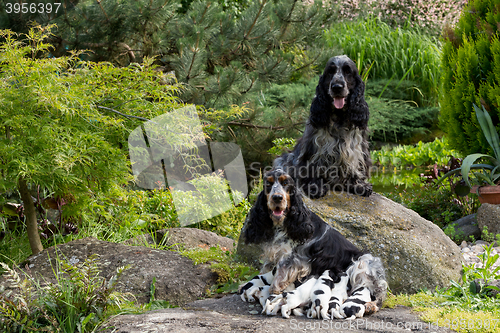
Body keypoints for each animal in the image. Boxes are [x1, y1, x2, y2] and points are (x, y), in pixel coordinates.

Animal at [238, 169, 386, 316]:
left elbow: (280, 273)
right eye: (268, 184)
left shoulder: (292, 258)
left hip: (362, 263)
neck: (284, 223)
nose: (277, 198)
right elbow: (266, 269)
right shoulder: (273, 253)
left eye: (285, 183)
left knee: (377, 294)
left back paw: (370, 306)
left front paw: (273, 290)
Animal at [274, 55, 372, 197]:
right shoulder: (315, 148)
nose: (337, 87)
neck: (339, 116)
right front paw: (314, 186)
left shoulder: (356, 148)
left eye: (348, 71)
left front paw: (358, 184)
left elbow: (354, 165)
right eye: (330, 72)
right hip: (282, 160)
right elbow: (313, 167)